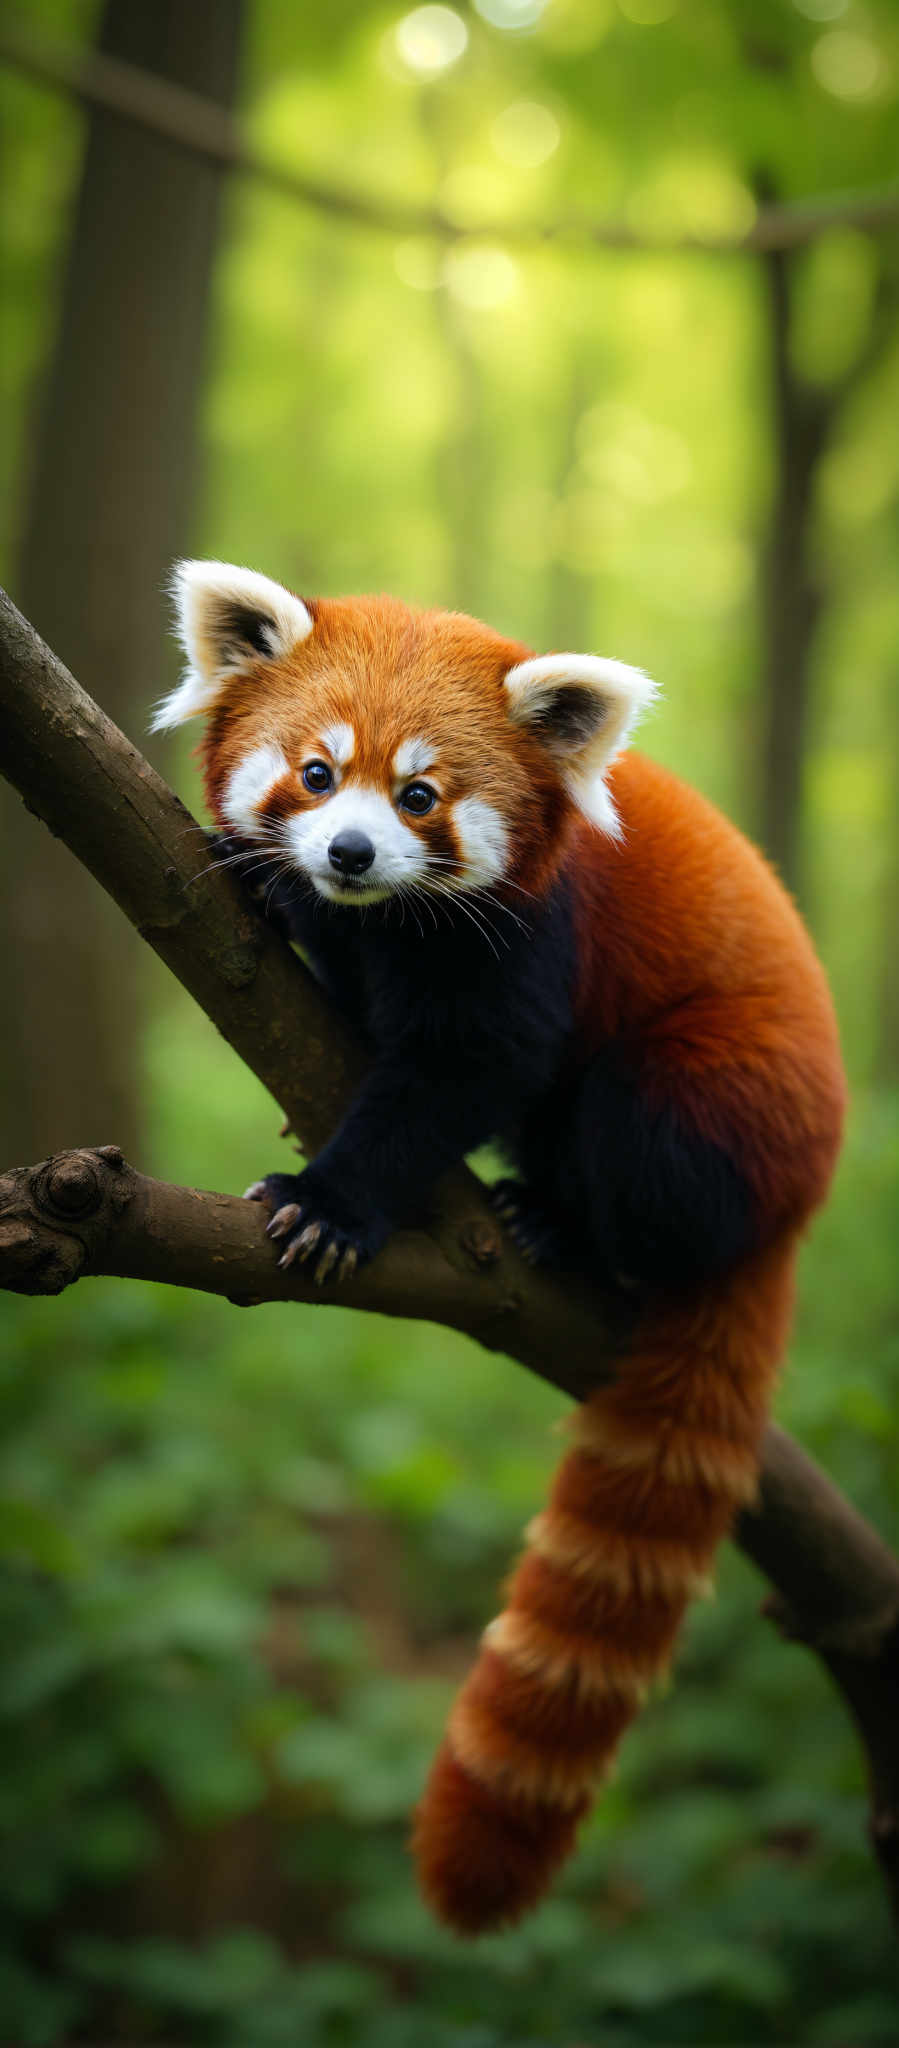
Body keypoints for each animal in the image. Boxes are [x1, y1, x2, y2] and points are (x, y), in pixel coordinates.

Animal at [151, 561, 847, 1933]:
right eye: (316, 773)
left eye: (419, 795)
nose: (350, 851)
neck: (382, 917)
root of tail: (795, 1208)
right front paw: (260, 884)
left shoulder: (525, 935)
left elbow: (465, 1071)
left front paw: (330, 1199)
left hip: (724, 1097)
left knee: (634, 1126)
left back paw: (563, 1227)